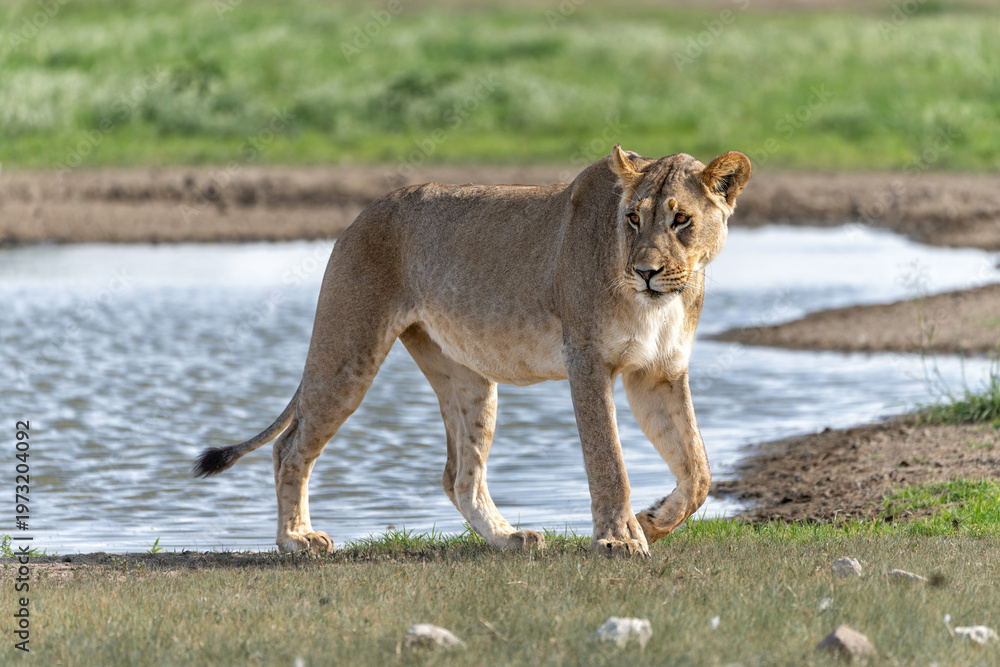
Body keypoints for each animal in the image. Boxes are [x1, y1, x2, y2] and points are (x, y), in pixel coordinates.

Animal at [194, 145, 751, 557]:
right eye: (633, 218)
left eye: (681, 220)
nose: (645, 271)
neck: (663, 301)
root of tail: (362, 214)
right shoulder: (587, 361)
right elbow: (608, 459)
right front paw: (618, 539)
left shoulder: (659, 372)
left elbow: (698, 470)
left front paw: (651, 522)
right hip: (347, 353)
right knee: (290, 447)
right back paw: (296, 539)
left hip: (468, 378)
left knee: (458, 476)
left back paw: (509, 538)